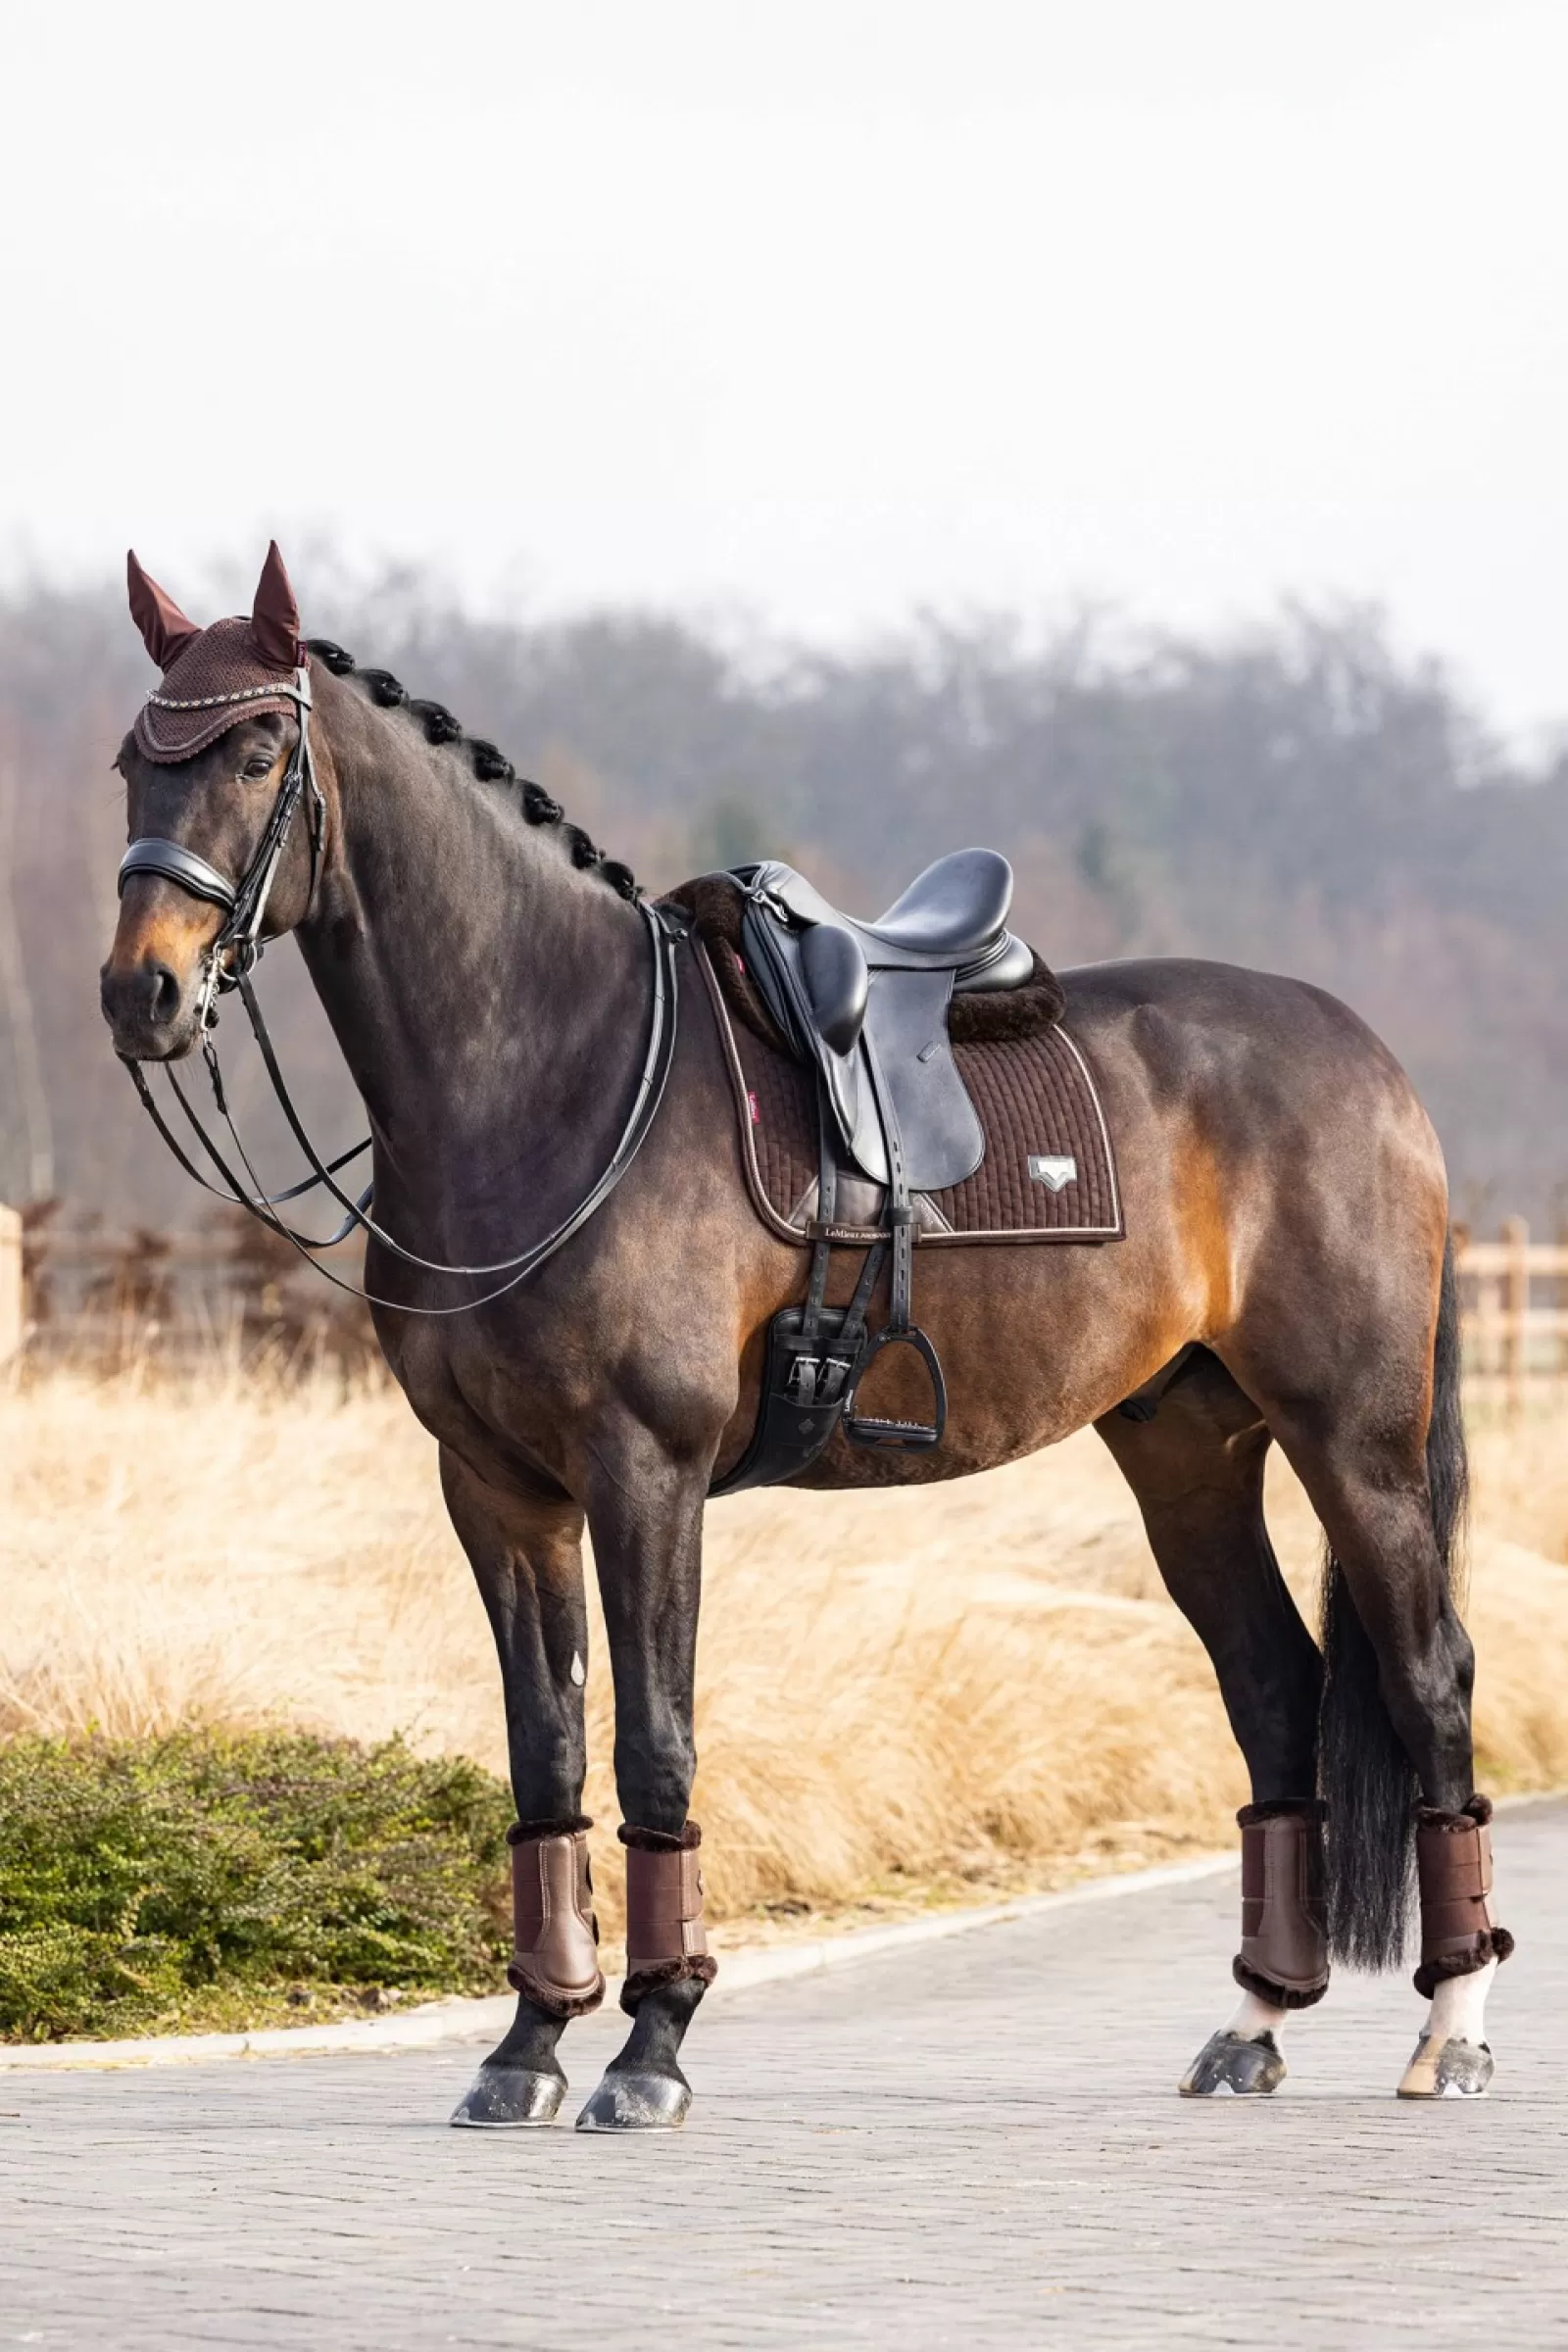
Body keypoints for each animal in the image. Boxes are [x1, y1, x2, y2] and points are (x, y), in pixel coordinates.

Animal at [98, 550, 1504, 2135]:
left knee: (1430, 1677)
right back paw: (1254, 2022)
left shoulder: (643, 1472)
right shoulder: (498, 1489)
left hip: (1355, 1442)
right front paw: (527, 2047)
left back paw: (1450, 2028)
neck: (552, 1074)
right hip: (1187, 1451)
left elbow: (653, 1741)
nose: (143, 993)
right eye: (131, 765)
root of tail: (1369, 1060)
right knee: (1273, 1689)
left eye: (254, 755)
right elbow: (542, 1753)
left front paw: (649, 2049)